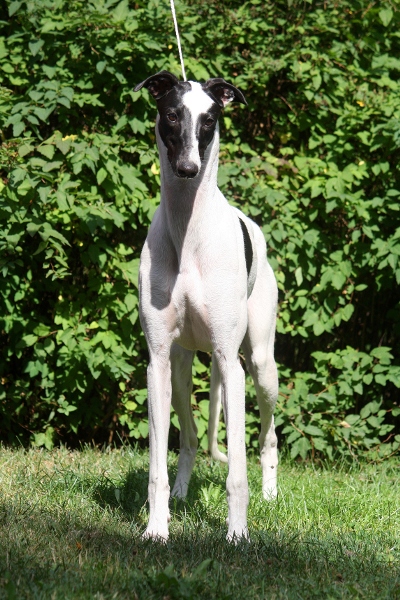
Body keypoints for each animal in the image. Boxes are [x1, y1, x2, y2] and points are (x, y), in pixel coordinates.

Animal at [134, 71, 278, 542]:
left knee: (268, 438)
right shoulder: (157, 361)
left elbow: (236, 473)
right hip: (181, 370)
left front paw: (237, 536)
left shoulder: (230, 363)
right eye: (172, 115)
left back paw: (270, 495)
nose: (188, 169)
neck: (188, 231)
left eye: (210, 120)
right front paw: (156, 530)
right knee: (191, 437)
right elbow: (156, 467)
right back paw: (181, 495)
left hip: (260, 366)